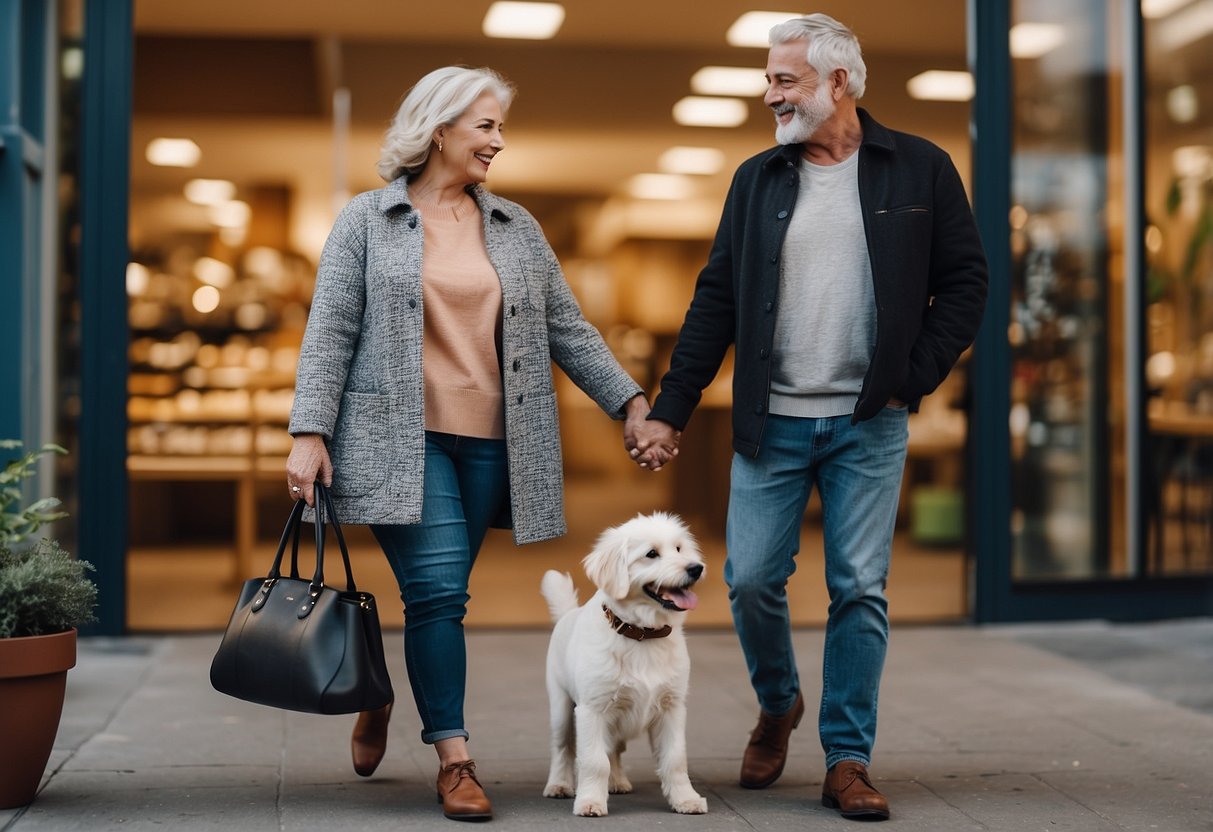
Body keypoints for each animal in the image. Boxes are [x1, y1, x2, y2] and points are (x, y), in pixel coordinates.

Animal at [543, 511, 708, 819]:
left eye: (679, 548)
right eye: (651, 554)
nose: (696, 568)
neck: (642, 633)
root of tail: (569, 614)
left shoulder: (672, 708)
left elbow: (675, 759)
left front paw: (685, 799)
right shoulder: (592, 710)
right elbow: (594, 761)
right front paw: (590, 802)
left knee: (614, 751)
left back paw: (617, 782)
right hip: (561, 709)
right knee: (563, 748)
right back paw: (558, 784)